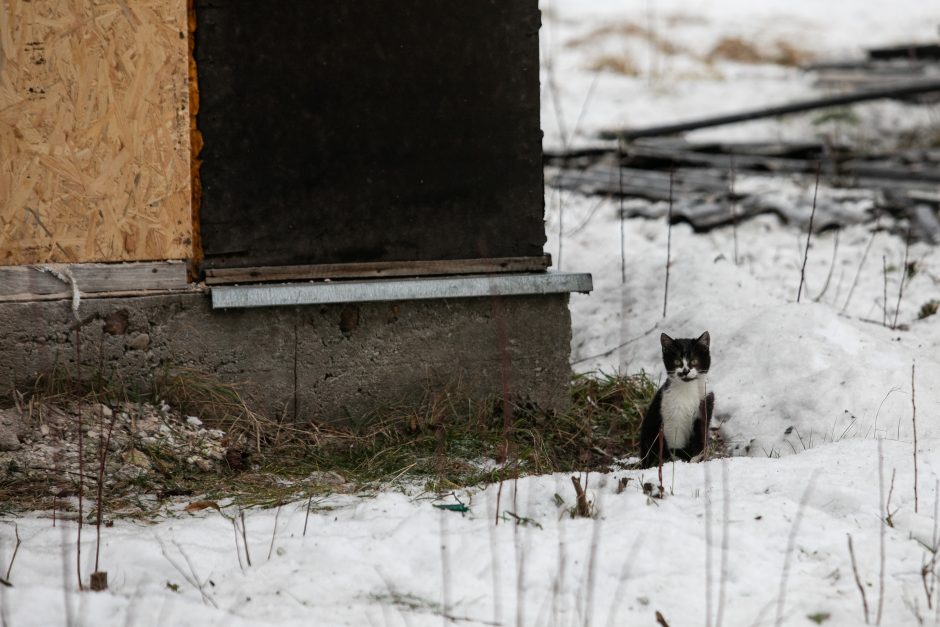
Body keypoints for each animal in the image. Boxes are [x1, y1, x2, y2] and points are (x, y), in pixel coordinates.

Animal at [644, 332, 716, 468]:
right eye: (677, 361)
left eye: (694, 360)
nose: (685, 371)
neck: (688, 390)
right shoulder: (670, 416)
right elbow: (675, 445)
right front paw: (680, 463)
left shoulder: (705, 404)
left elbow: (701, 436)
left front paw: (695, 460)